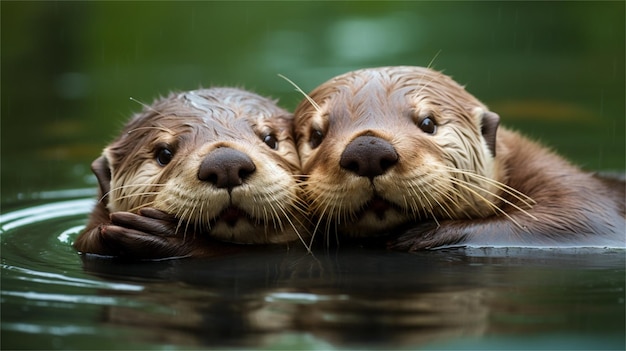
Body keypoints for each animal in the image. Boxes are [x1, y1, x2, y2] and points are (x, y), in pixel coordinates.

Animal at [292, 66, 624, 250]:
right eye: (316, 135)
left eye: (428, 123)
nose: (368, 151)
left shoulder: (572, 191)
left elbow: (575, 220)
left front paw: (424, 235)